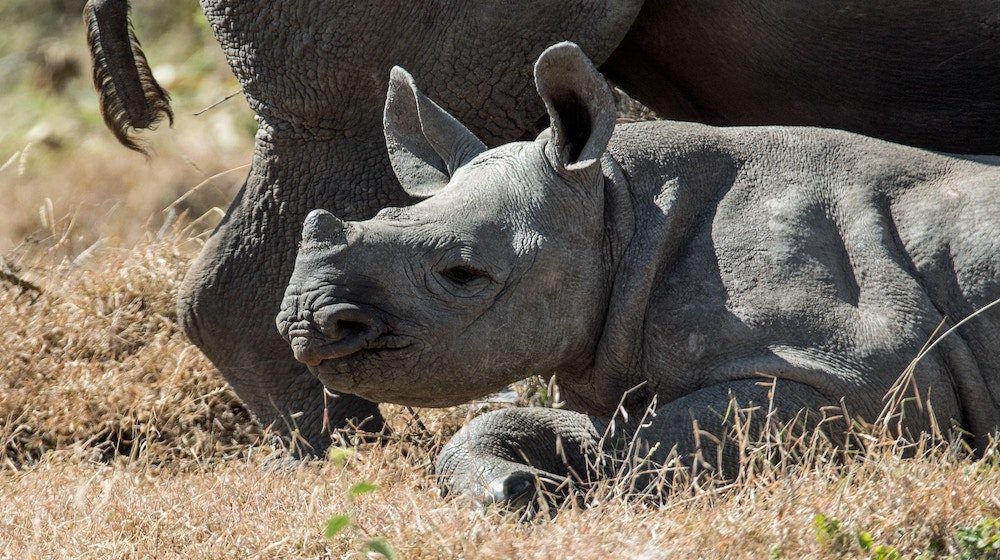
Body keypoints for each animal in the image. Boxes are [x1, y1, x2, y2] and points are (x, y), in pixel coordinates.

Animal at [276, 42, 1000, 503]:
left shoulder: (858, 378)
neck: (618, 208)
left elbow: (655, 450)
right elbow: (580, 435)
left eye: (462, 273)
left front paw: (568, 493)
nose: (304, 322)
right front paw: (518, 488)